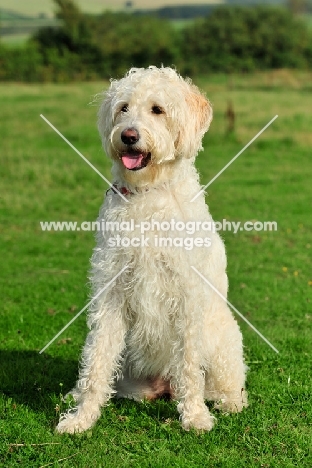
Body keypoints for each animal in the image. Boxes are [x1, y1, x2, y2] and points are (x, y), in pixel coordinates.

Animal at [55, 66, 246, 436]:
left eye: (158, 109)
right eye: (124, 108)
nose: (128, 136)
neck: (148, 192)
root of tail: (162, 387)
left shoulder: (187, 297)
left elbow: (189, 364)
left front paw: (195, 417)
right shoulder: (111, 292)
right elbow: (97, 360)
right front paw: (82, 417)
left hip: (223, 340)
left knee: (225, 384)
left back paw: (226, 401)